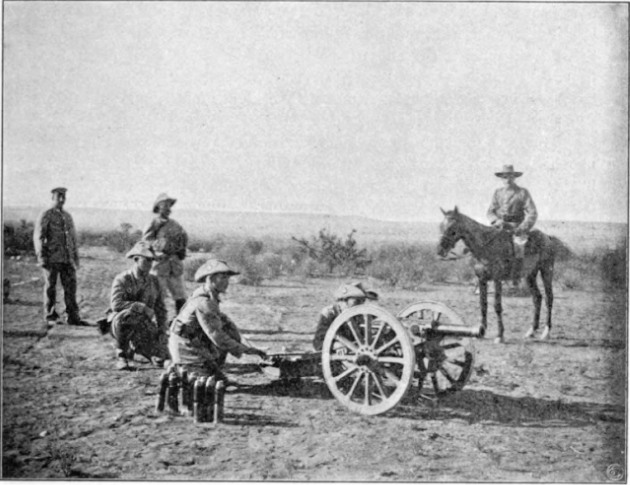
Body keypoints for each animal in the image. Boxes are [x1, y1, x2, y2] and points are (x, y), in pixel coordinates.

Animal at [437, 206, 566, 343]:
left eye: (452, 228)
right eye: (441, 226)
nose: (440, 250)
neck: (485, 247)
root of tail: (548, 238)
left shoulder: (497, 279)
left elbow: (497, 306)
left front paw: (500, 335)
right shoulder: (482, 279)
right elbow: (483, 304)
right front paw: (481, 330)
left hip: (546, 270)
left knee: (549, 298)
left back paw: (546, 332)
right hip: (530, 275)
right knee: (537, 298)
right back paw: (531, 331)